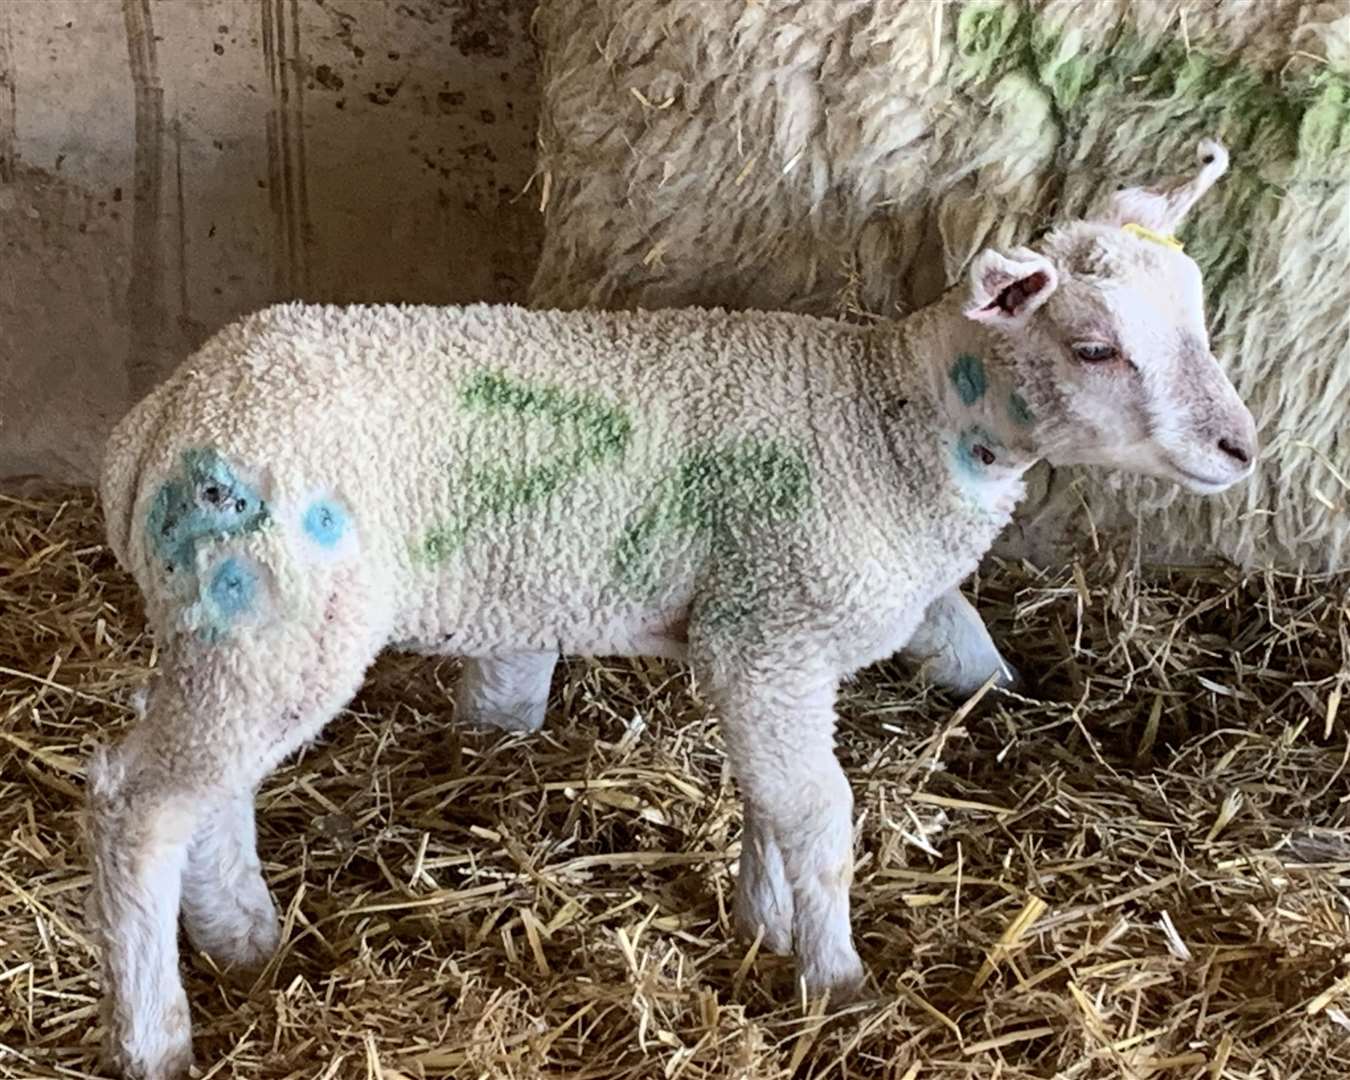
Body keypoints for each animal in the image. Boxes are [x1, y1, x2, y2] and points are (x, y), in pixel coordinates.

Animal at [92, 139, 1252, 1074]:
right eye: (1095, 347)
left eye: (1203, 318)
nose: (1240, 448)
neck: (892, 419)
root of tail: (152, 425)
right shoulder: (775, 633)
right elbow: (818, 814)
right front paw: (837, 983)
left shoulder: (756, 636)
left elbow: (768, 803)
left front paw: (764, 927)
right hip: (273, 613)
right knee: (137, 809)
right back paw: (156, 1035)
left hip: (250, 626)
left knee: (207, 790)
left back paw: (247, 941)